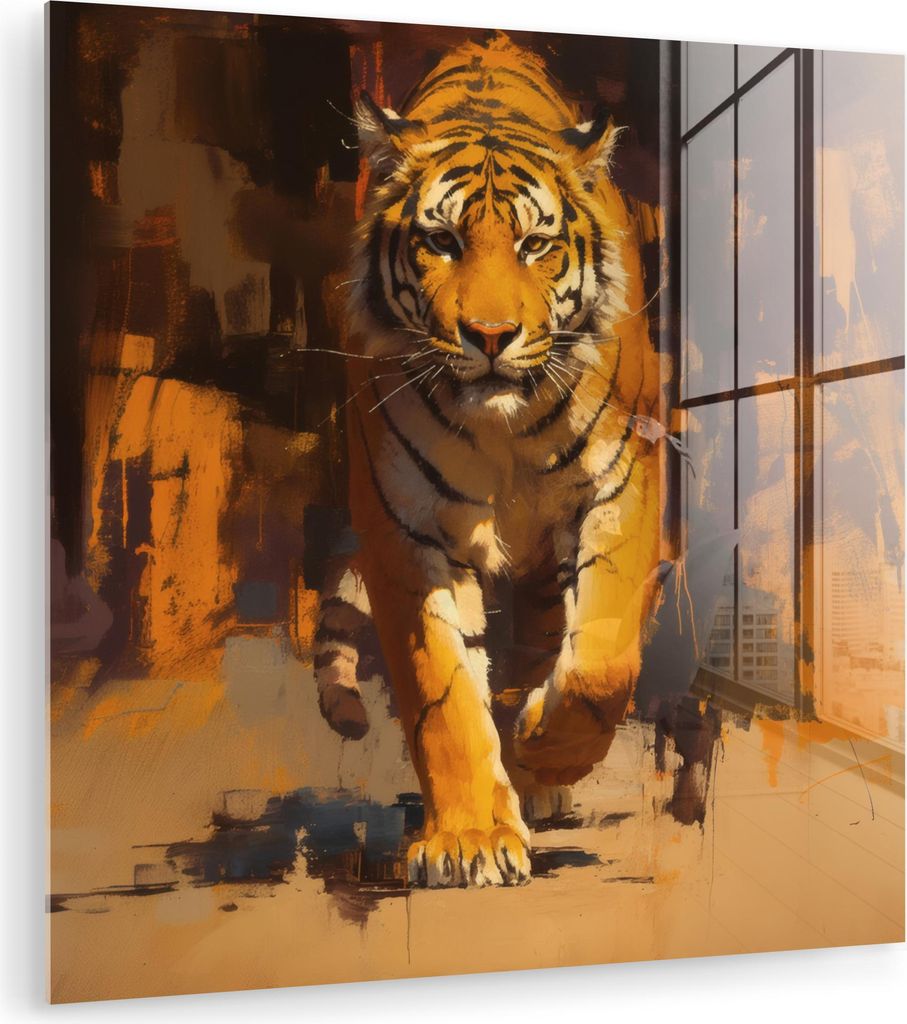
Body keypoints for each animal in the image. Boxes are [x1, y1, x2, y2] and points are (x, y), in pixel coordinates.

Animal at [313, 33, 663, 888]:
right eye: (440, 241)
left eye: (536, 244)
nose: (492, 335)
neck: (507, 427)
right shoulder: (404, 527)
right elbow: (440, 690)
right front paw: (468, 837)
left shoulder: (622, 480)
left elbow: (601, 660)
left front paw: (542, 745)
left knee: (546, 640)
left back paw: (538, 764)